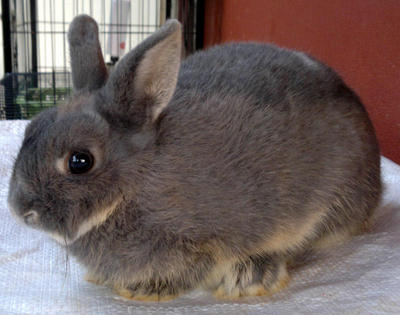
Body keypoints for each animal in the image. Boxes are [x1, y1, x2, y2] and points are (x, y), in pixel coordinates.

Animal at [7, 15, 382, 304]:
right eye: (31, 128)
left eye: (80, 161)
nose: (19, 210)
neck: (134, 187)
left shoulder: (202, 240)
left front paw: (143, 290)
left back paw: (251, 276)